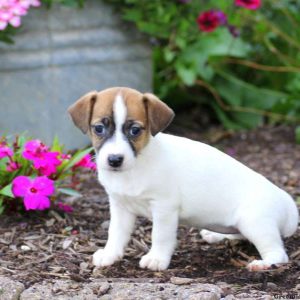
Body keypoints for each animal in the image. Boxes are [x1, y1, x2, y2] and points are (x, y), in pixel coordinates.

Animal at [69, 86, 298, 272]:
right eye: (99, 128)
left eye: (135, 130)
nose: (115, 159)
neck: (137, 165)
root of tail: (289, 204)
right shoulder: (120, 206)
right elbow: (115, 233)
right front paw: (110, 254)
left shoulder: (164, 208)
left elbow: (160, 235)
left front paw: (156, 258)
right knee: (239, 234)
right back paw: (217, 235)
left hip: (255, 222)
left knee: (278, 253)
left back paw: (263, 264)